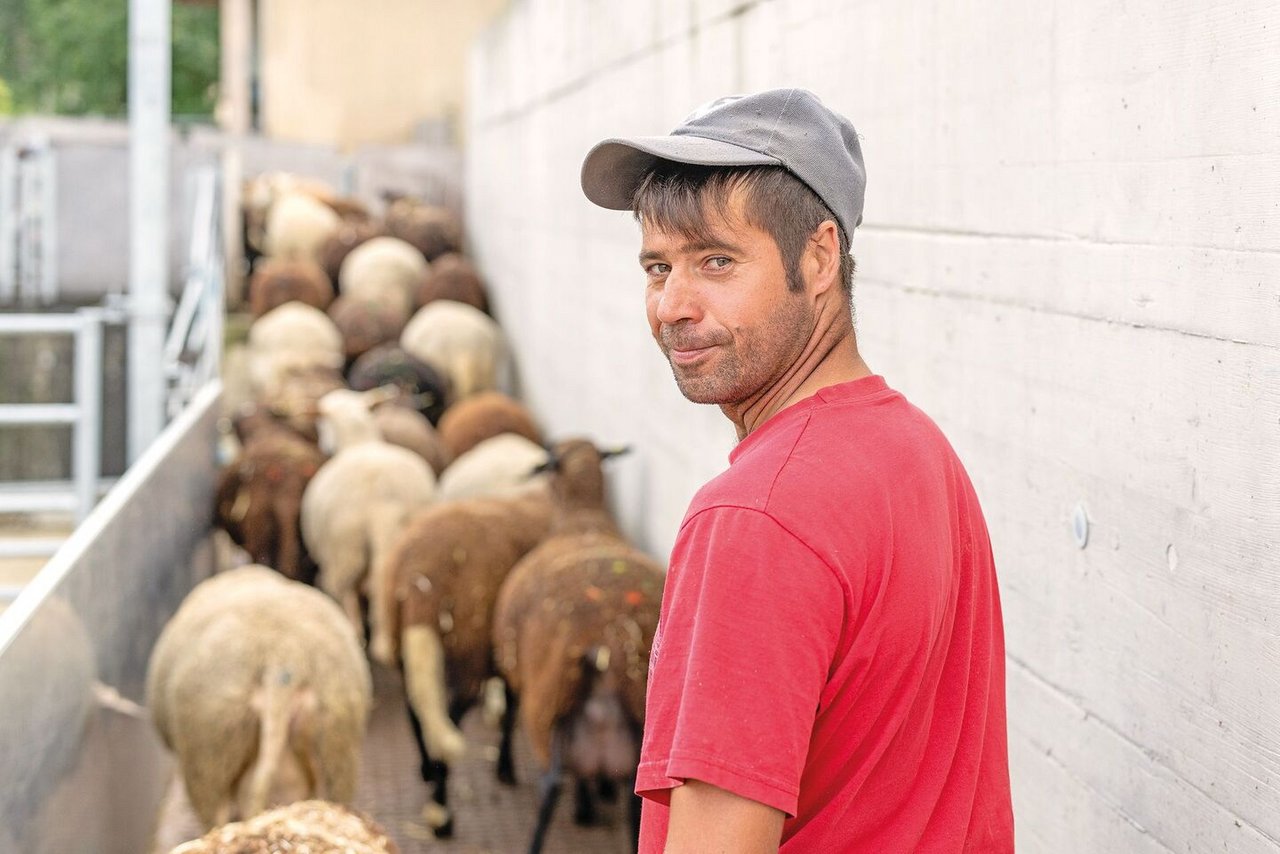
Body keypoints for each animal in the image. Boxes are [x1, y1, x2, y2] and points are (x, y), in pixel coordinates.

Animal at [300, 386, 437, 655]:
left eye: (321, 422)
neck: (358, 442)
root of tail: (380, 501)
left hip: (345, 547)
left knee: (344, 590)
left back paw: (355, 633)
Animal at [371, 491, 550, 839]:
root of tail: (419, 578)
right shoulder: (508, 654)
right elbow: (511, 707)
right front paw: (505, 767)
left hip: (402, 639)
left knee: (415, 708)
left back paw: (427, 772)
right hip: (469, 652)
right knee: (450, 717)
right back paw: (441, 814)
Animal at [491, 440, 665, 854]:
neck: (583, 518)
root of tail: (606, 643)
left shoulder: (511, 661)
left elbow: (508, 710)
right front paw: (593, 800)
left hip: (549, 708)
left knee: (551, 784)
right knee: (633, 801)